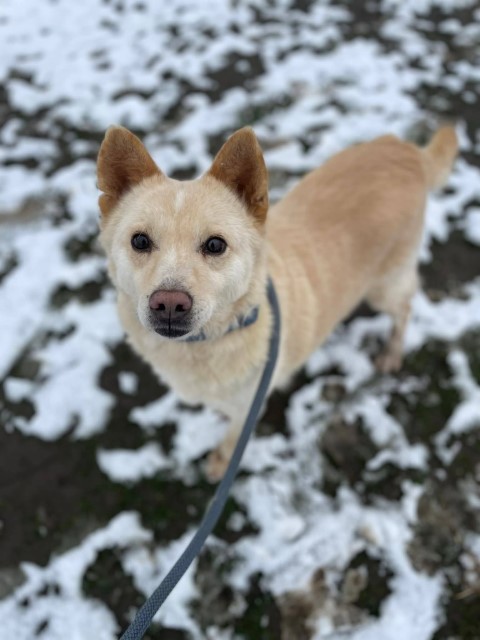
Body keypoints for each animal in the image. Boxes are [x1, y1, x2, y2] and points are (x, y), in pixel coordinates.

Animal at [97, 124, 457, 480]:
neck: (211, 339)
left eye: (215, 245)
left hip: (384, 288)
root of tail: (406, 151)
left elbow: (233, 438)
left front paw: (220, 463)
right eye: (140, 241)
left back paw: (392, 352)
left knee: (406, 306)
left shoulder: (248, 407)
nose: (169, 304)